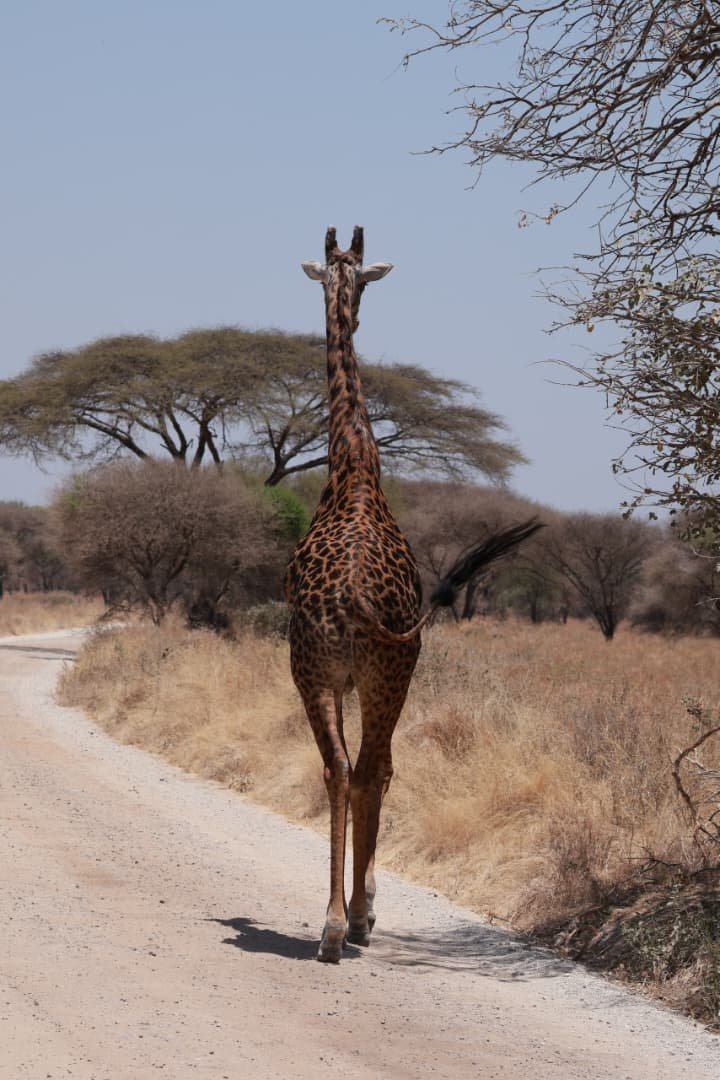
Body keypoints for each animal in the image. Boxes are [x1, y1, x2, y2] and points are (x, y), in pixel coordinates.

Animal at [286, 225, 542, 962]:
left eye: (358, 278)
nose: (358, 316)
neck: (354, 461)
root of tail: (350, 599)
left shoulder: (339, 676)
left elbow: (356, 770)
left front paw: (355, 908)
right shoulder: (380, 673)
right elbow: (386, 770)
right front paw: (366, 908)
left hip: (318, 671)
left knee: (340, 768)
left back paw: (332, 927)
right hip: (382, 671)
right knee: (369, 768)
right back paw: (350, 922)